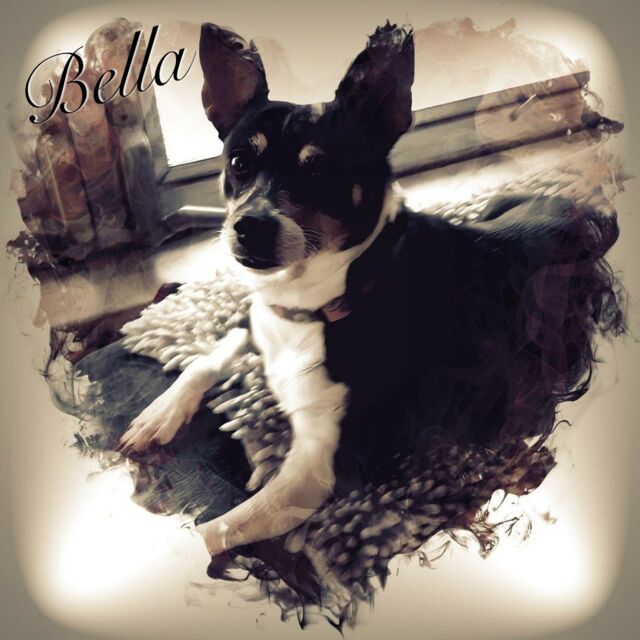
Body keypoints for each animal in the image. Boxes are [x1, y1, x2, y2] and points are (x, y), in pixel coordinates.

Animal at [119, 21, 619, 561]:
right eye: (238, 161)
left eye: (320, 170)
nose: (249, 227)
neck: (314, 303)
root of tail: (588, 210)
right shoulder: (258, 320)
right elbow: (207, 357)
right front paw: (157, 415)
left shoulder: (316, 472)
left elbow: (217, 531)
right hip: (492, 206)